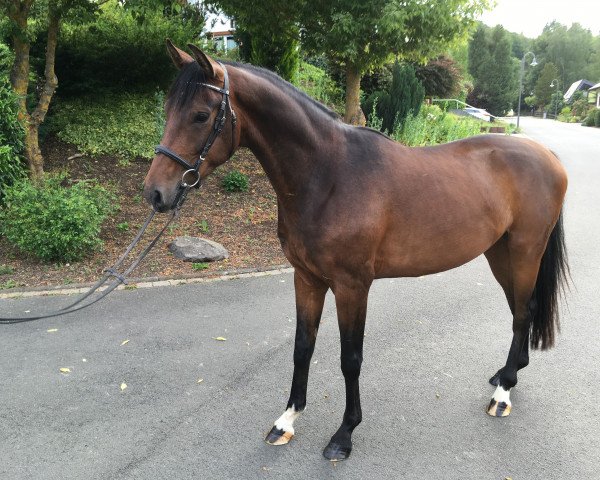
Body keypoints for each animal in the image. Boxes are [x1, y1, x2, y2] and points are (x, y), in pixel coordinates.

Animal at [143, 43, 568, 464]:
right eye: (168, 109)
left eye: (200, 115)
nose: (156, 193)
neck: (328, 175)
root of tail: (548, 155)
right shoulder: (307, 279)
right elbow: (303, 348)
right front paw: (287, 420)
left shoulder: (352, 286)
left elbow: (350, 359)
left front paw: (344, 435)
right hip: (499, 253)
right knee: (520, 310)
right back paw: (507, 374)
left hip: (525, 251)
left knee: (523, 312)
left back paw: (503, 394)